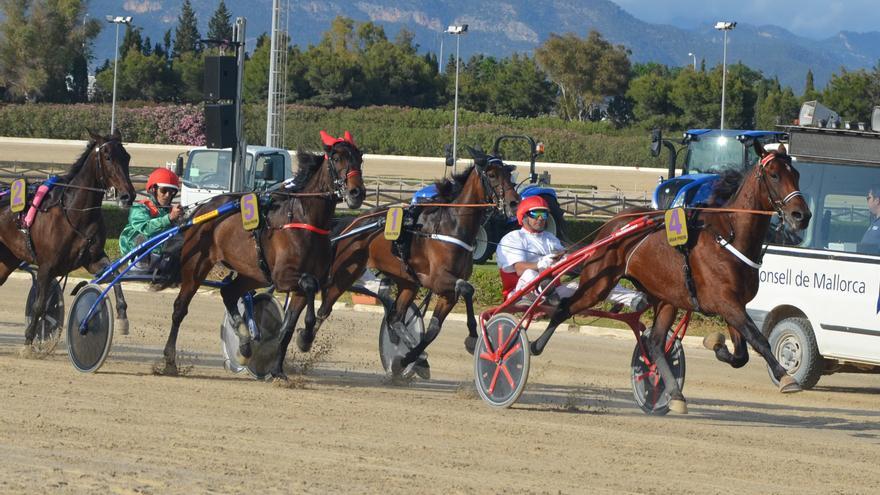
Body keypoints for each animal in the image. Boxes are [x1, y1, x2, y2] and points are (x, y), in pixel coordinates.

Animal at [0, 132, 136, 348]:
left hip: (8, 259)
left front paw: (123, 317)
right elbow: (39, 306)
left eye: (127, 157)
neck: (74, 213)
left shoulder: (92, 259)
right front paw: (29, 342)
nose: (128, 195)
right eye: (107, 157)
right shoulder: (46, 266)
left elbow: (114, 274)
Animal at [160, 132, 362, 376]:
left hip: (254, 272)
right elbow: (309, 284)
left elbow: (289, 326)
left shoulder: (298, 283)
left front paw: (278, 368)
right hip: (196, 263)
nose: (357, 192)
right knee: (180, 308)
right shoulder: (282, 277)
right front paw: (305, 338)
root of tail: (201, 209)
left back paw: (245, 344)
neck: (304, 220)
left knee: (229, 292)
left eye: (360, 158)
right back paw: (170, 360)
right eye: (337, 158)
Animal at [302, 153, 524, 378]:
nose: (514, 203)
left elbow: (434, 329)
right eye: (492, 175)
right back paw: (304, 339)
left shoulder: (448, 292)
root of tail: (350, 223)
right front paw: (472, 337)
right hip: (345, 272)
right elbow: (467, 288)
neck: (452, 226)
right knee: (325, 307)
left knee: (395, 317)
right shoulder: (437, 280)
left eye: (509, 174)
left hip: (408, 281)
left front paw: (409, 359)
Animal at [528, 141, 812, 412]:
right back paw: (532, 346)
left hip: (664, 298)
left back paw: (674, 394)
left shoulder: (735, 304)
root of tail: (614, 223)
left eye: (797, 174)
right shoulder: (725, 301)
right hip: (597, 283)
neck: (728, 237)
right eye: (774, 175)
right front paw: (786, 377)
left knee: (655, 343)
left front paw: (716, 344)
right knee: (565, 307)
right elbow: (758, 339)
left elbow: (741, 355)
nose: (802, 215)